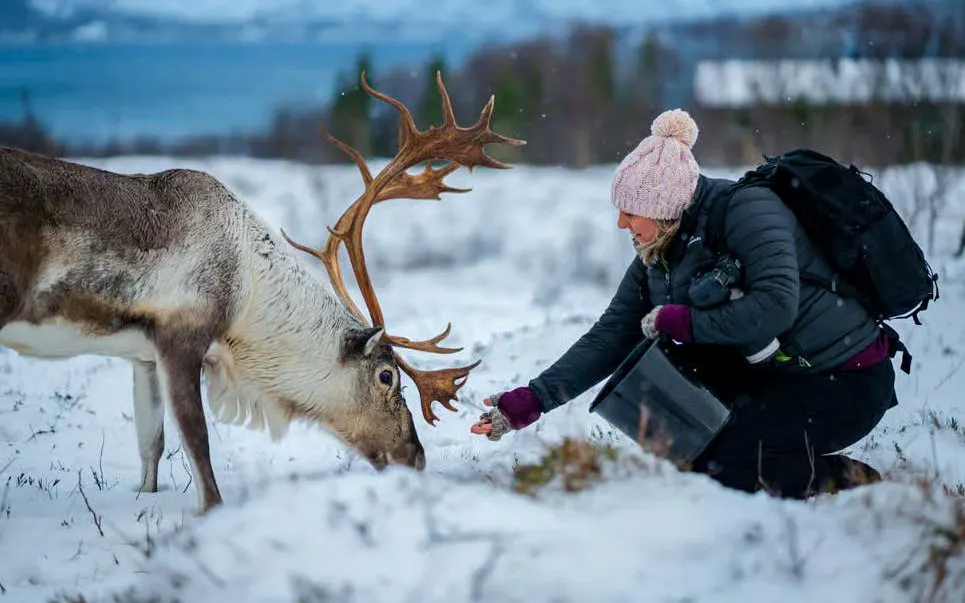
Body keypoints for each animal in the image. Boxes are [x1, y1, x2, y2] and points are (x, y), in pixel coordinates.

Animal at [0, 72, 525, 514]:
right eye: (386, 377)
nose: (415, 457)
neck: (247, 300)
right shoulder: (180, 339)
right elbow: (200, 453)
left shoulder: (141, 356)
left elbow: (151, 448)